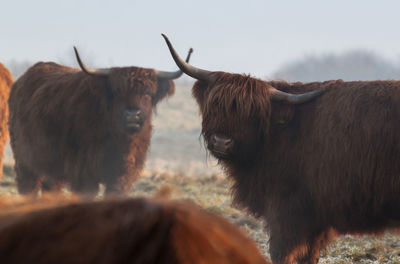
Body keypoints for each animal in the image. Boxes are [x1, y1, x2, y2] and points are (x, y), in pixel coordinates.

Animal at [7, 47, 192, 196]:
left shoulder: (122, 176)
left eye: (147, 93)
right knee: (28, 189)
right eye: (117, 92)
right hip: (25, 160)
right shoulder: (84, 175)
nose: (132, 115)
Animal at [162, 35, 400, 264]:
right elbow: (309, 256)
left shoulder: (288, 209)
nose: (221, 141)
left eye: (252, 114)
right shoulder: (315, 217)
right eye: (215, 104)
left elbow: (281, 252)